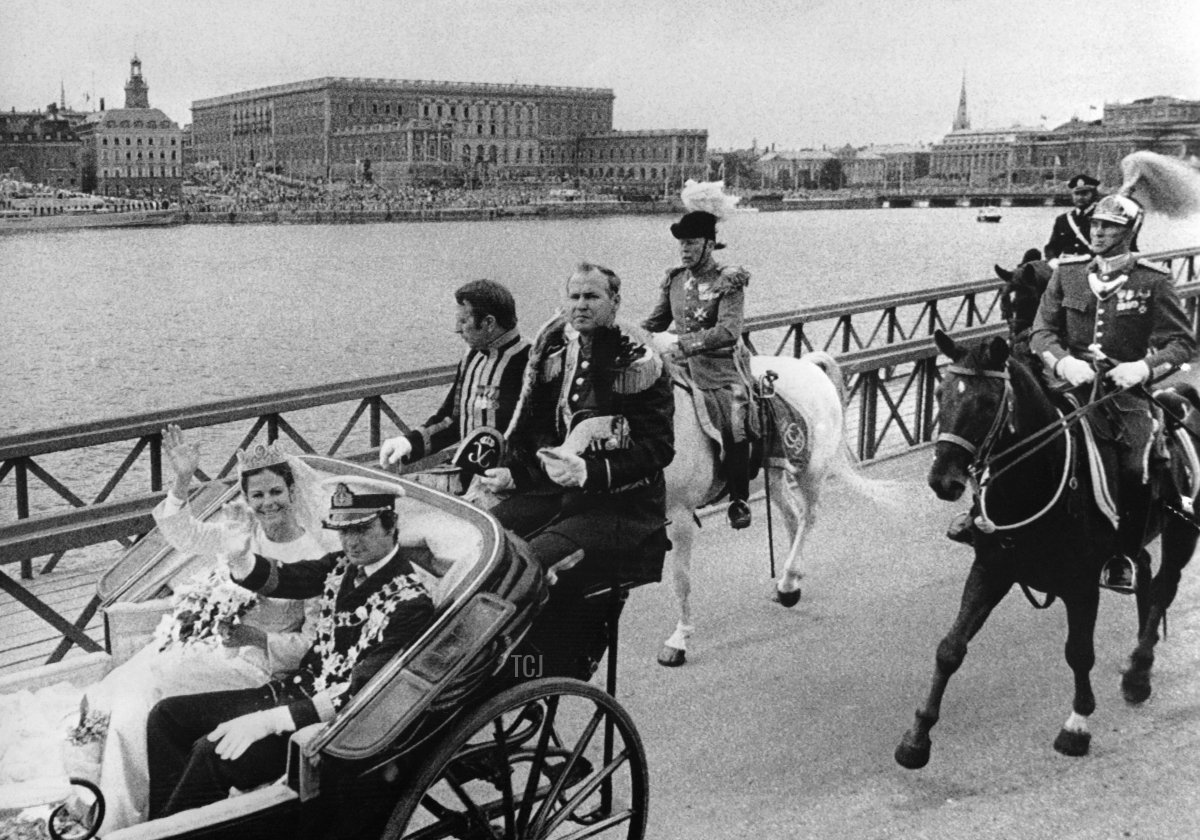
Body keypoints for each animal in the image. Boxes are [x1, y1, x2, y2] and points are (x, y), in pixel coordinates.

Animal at [657, 350, 902, 667]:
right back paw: (792, 582)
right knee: (792, 517)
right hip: (774, 472)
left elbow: (681, 579)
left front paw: (679, 640)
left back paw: (787, 584)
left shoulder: (680, 513)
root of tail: (809, 366)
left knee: (808, 517)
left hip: (810, 471)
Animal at [897, 328, 1195, 768]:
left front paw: (1077, 727)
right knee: (1142, 568)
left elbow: (1079, 652)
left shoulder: (1081, 585)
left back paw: (1139, 668)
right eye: (939, 392)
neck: (1032, 481)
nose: (943, 480)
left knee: (1163, 588)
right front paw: (917, 737)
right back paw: (1138, 668)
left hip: (1182, 534)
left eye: (988, 402)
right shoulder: (992, 568)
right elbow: (950, 648)